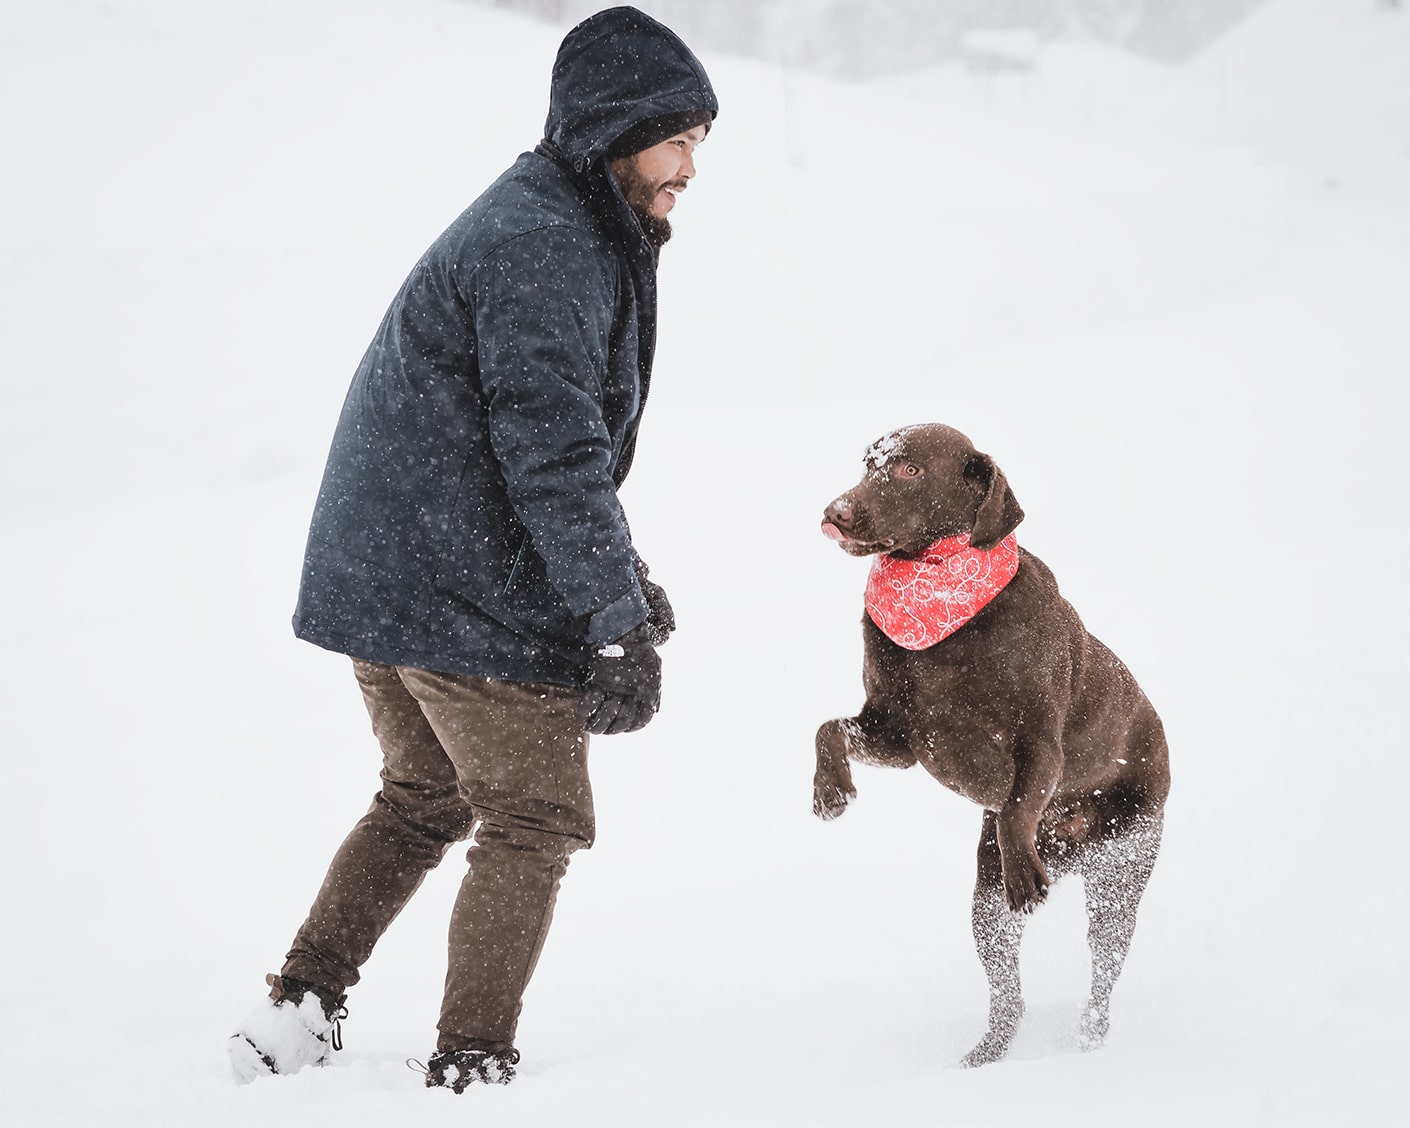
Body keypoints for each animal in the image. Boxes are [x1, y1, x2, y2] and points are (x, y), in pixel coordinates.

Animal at [817, 423, 1167, 1065]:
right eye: (867, 462)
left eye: (909, 470)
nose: (835, 510)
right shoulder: (898, 736)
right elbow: (829, 729)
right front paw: (830, 793)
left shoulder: (1039, 742)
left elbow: (1015, 807)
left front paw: (1024, 872)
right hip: (987, 906)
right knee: (1009, 996)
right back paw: (985, 1057)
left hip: (1120, 876)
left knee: (1103, 969)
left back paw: (1089, 1034)